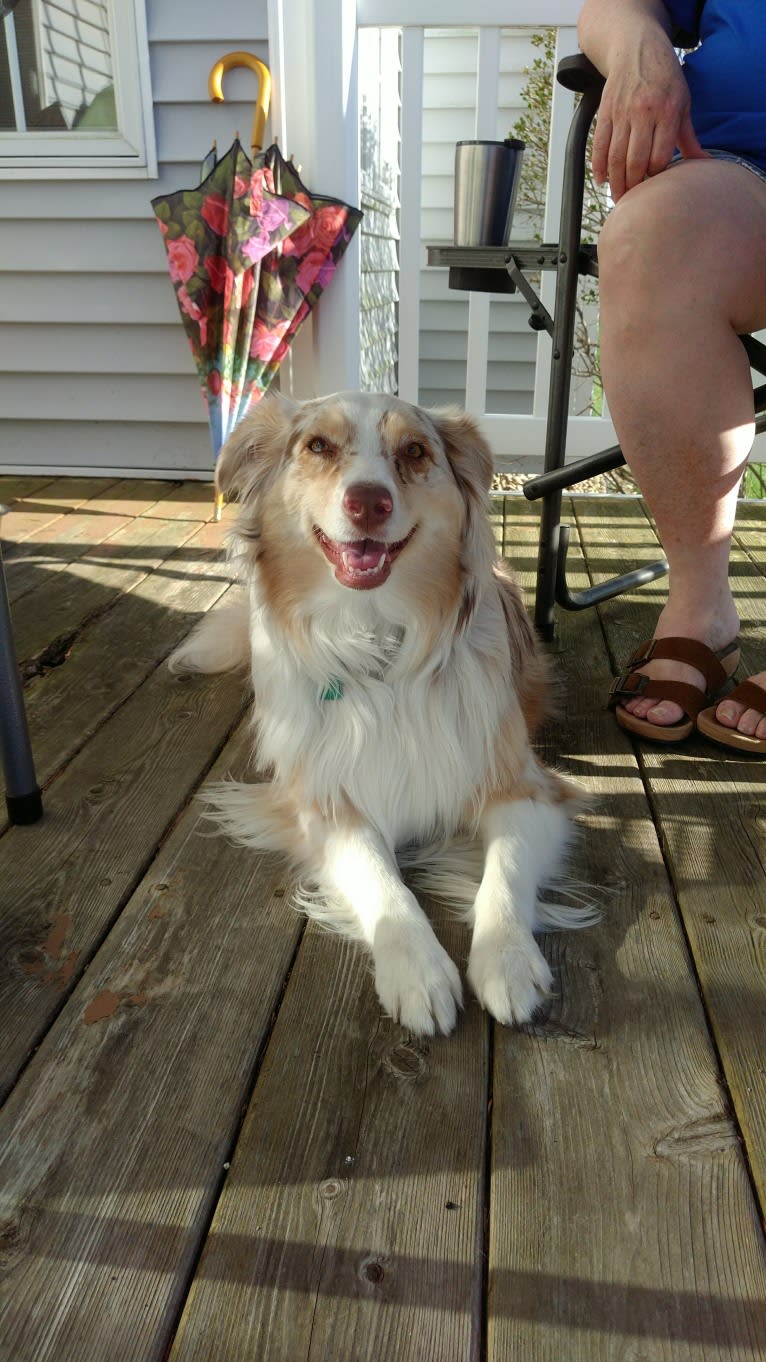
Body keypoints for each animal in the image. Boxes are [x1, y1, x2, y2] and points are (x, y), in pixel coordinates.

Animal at [171, 392, 591, 1029]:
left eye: (414, 451)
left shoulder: (525, 788)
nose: (368, 502)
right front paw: (417, 969)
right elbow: (378, 876)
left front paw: (509, 960)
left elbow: (507, 868)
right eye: (317, 445)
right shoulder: (323, 800)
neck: (377, 644)